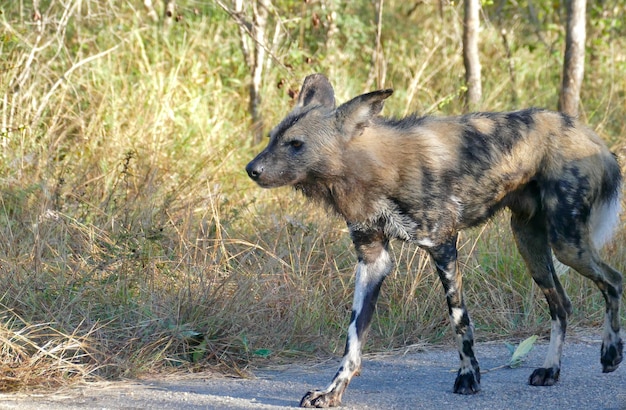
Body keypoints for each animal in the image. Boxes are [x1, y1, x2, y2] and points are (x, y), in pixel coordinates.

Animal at [246, 73, 620, 406]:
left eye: (296, 145)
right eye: (272, 138)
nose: (251, 169)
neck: (372, 170)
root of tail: (588, 133)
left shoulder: (442, 246)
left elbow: (459, 319)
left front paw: (468, 377)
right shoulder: (372, 259)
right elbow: (352, 341)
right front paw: (332, 392)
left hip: (566, 244)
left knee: (613, 280)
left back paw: (611, 353)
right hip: (530, 245)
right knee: (561, 304)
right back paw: (550, 370)